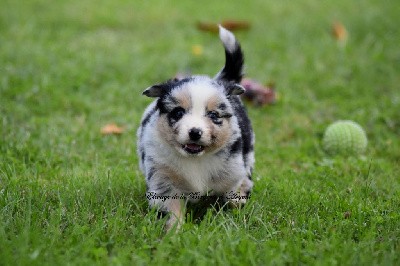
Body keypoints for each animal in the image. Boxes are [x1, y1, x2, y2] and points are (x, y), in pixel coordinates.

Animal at [138, 26, 255, 231]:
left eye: (214, 115)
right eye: (178, 112)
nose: (194, 132)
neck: (195, 160)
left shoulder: (233, 173)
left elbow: (232, 196)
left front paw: (231, 216)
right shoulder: (163, 180)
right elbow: (173, 210)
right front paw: (174, 232)